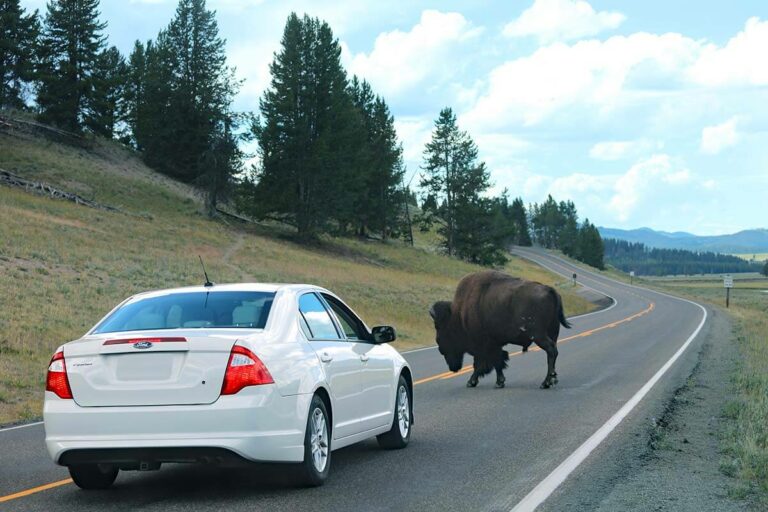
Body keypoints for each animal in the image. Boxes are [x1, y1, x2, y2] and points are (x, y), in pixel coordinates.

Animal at [432, 272, 568, 388]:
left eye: (440, 328)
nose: (453, 368)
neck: (459, 315)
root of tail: (550, 290)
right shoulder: (494, 344)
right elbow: (496, 361)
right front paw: (498, 382)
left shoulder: (484, 345)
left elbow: (486, 363)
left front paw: (475, 382)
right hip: (552, 332)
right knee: (553, 352)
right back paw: (552, 379)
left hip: (538, 335)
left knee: (551, 351)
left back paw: (546, 383)